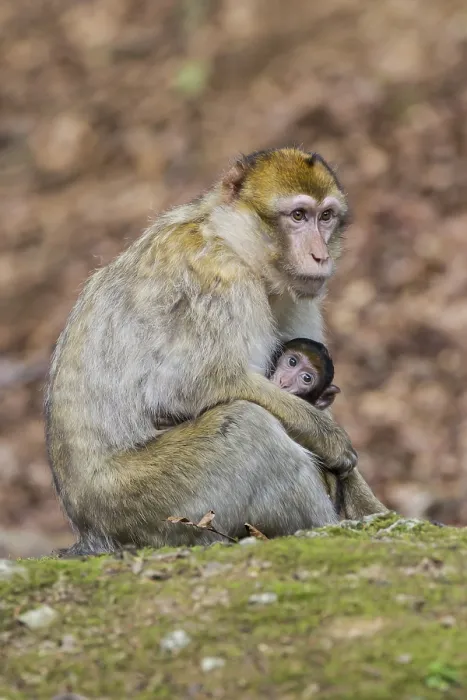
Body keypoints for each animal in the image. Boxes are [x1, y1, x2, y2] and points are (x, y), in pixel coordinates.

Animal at [45, 147, 387, 556]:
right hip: (145, 508)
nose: (321, 256)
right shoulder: (219, 280)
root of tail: (89, 530)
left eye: (326, 217)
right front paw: (330, 439)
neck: (232, 240)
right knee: (246, 424)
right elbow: (187, 389)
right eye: (298, 216)